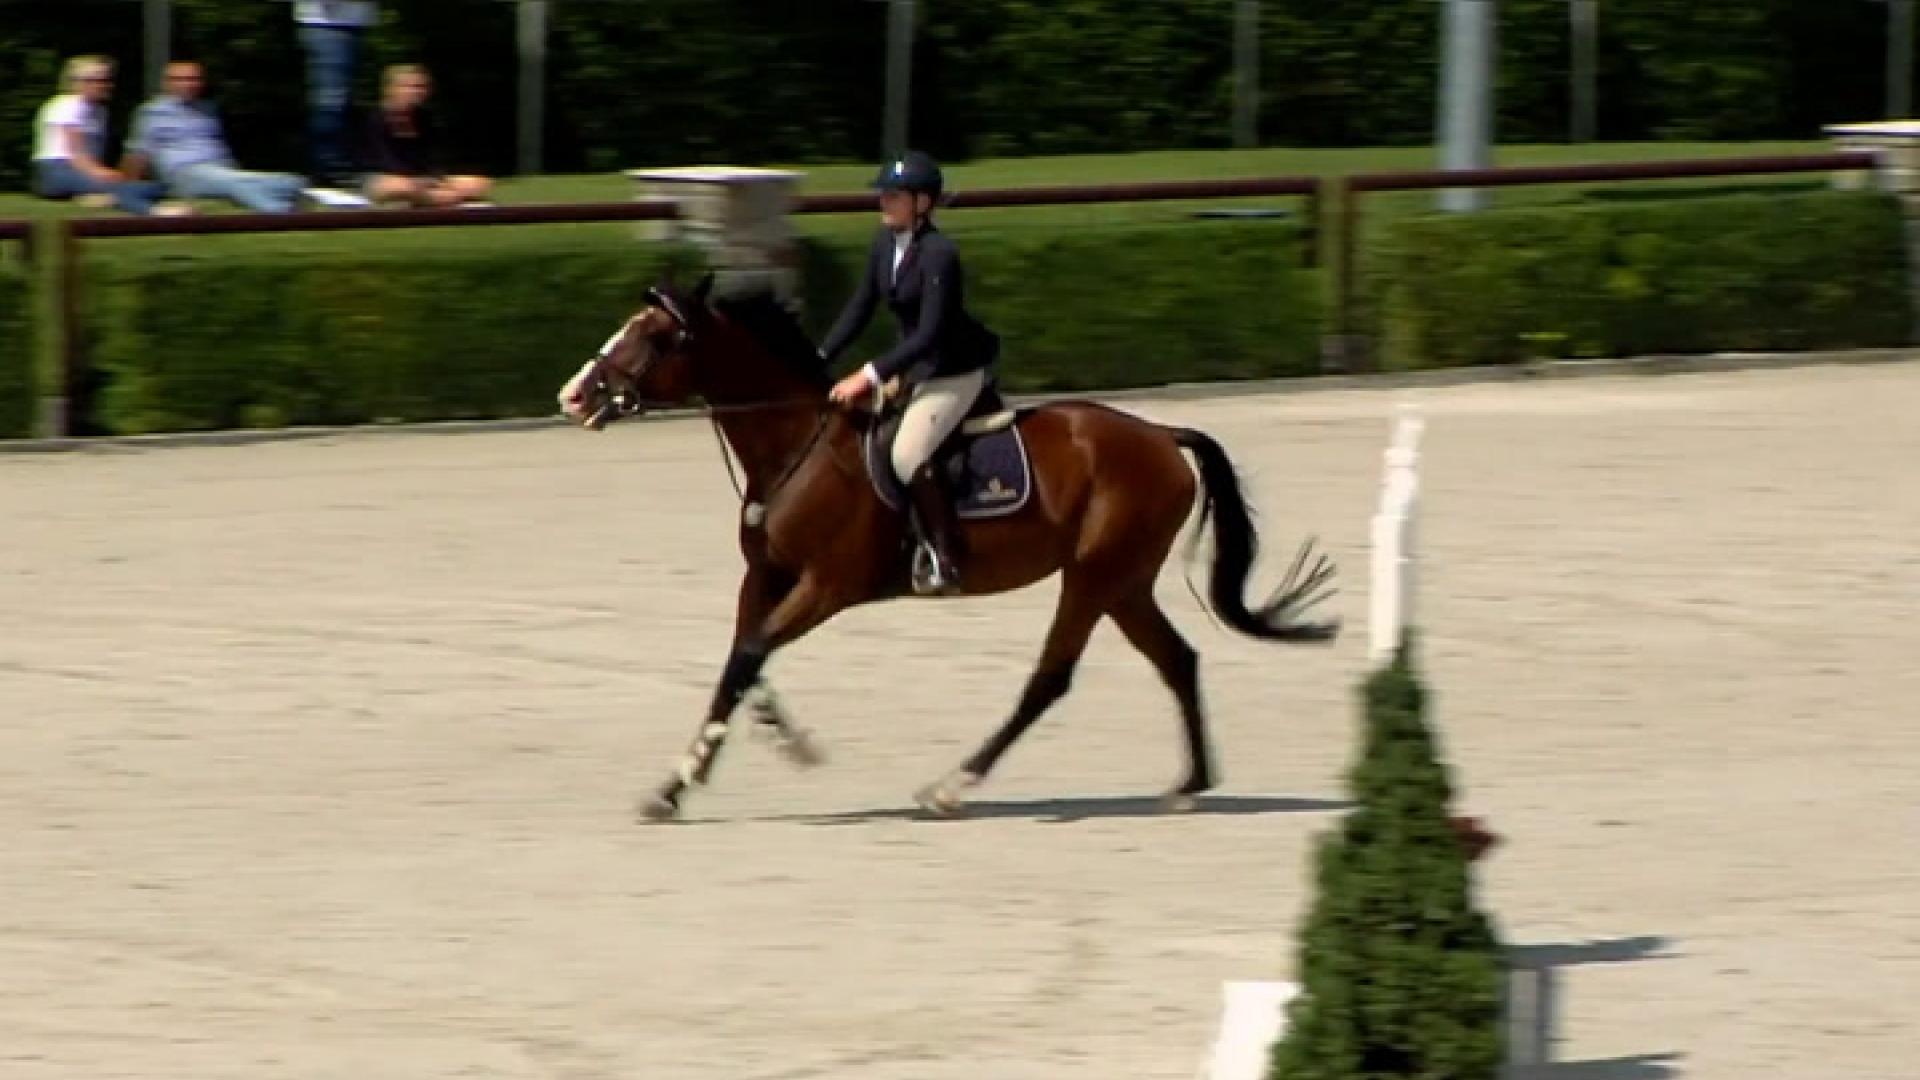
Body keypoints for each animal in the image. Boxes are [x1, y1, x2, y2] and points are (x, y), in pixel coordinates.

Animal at [557, 275, 1340, 822]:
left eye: (656, 336)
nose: (574, 395)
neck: (795, 444)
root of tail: (1161, 436)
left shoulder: (825, 587)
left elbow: (750, 655)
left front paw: (750, 754)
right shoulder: (768, 578)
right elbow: (738, 663)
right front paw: (680, 784)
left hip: (1094, 576)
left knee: (1050, 679)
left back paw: (952, 786)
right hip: (1124, 582)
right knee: (1177, 659)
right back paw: (1188, 785)